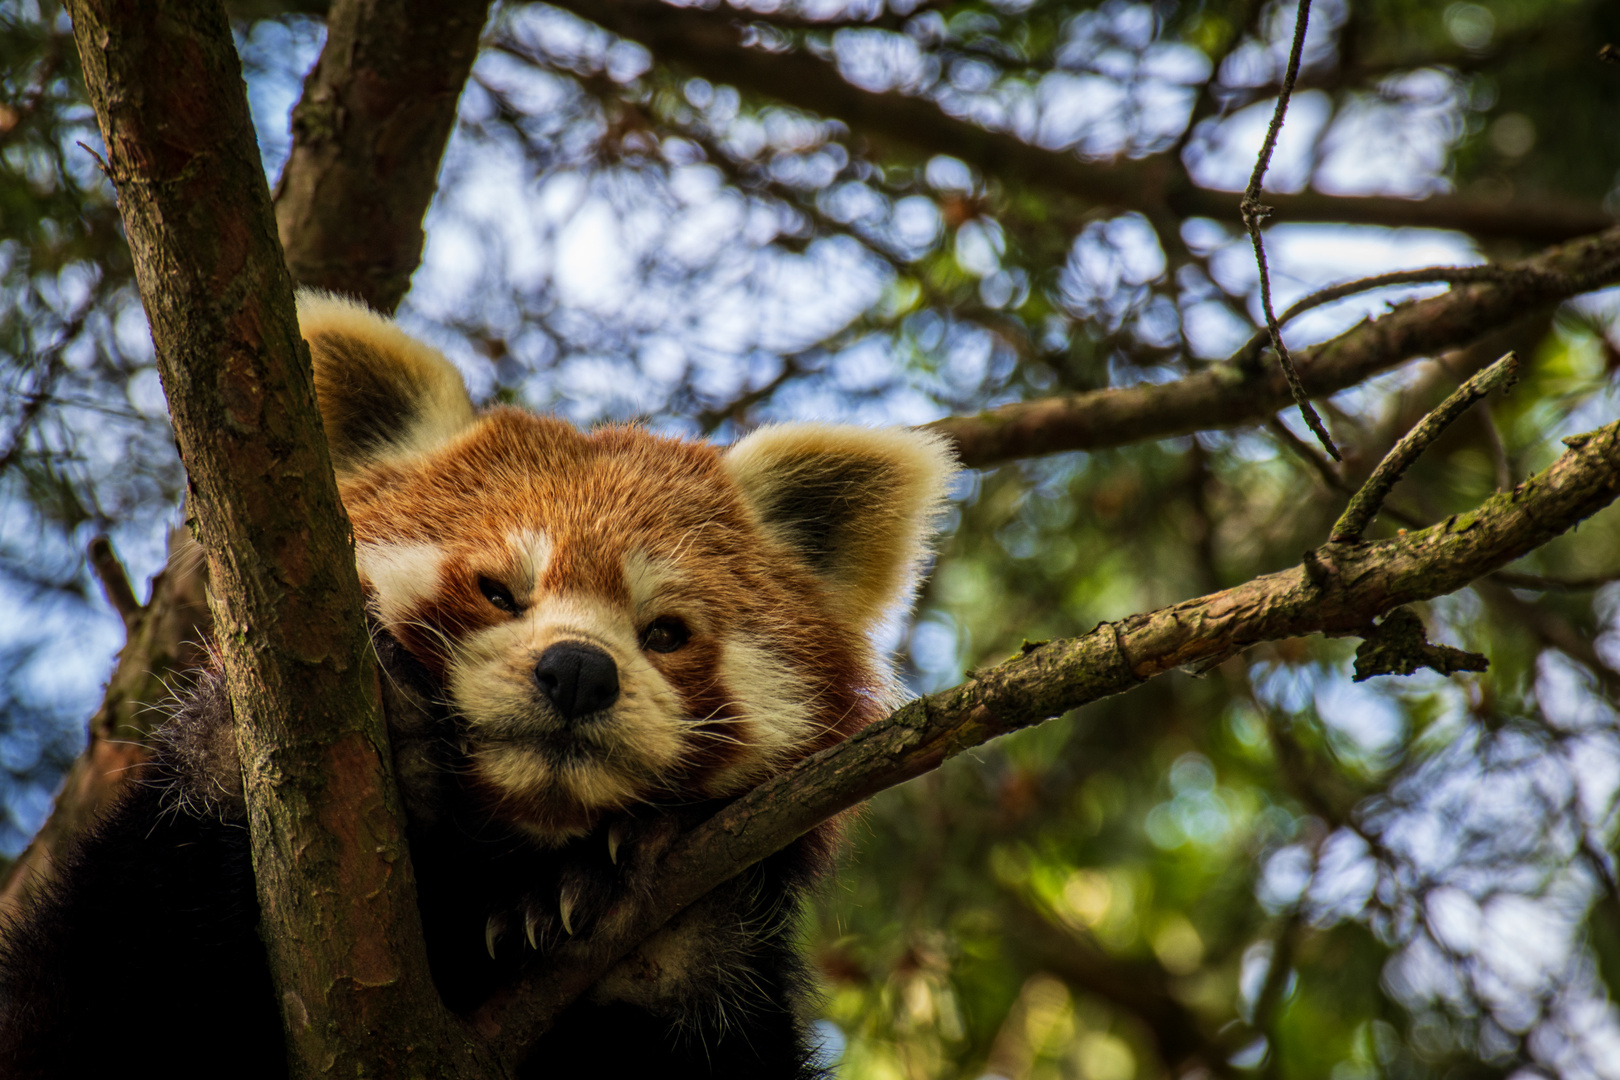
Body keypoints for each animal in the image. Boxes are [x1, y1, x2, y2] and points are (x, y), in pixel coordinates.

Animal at [0, 296, 952, 1080]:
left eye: (665, 633)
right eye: (498, 590)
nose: (578, 670)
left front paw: (638, 883)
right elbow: (90, 996)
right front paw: (238, 753)